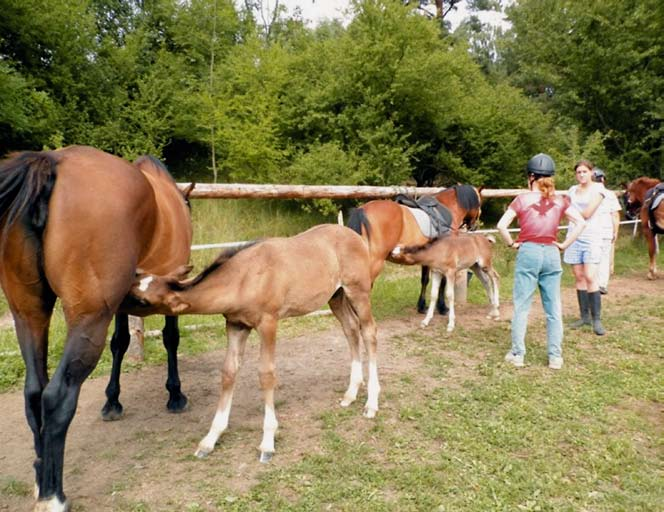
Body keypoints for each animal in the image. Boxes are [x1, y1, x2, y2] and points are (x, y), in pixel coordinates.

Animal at [0, 145, 192, 512]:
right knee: (56, 396)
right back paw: (53, 495)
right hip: (87, 321)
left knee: (33, 394)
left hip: (29, 316)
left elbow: (121, 342)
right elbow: (170, 339)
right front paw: (175, 395)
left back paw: (40, 478)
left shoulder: (124, 303)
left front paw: (112, 402)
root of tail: (52, 164)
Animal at [348, 184, 482, 312]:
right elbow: (443, 282)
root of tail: (362, 209)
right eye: (480, 203)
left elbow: (425, 280)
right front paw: (442, 307)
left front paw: (422, 306)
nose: (474, 226)